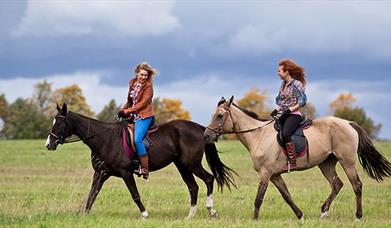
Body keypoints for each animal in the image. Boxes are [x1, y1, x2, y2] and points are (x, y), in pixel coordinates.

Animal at [44, 103, 237, 219]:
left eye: (59, 123)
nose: (48, 144)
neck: (105, 138)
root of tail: (198, 127)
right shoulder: (102, 172)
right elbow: (92, 194)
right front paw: (84, 215)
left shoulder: (125, 173)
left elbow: (135, 194)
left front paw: (145, 214)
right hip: (182, 166)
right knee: (193, 187)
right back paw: (190, 215)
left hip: (192, 164)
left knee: (209, 179)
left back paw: (211, 210)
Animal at [205, 95, 391, 221]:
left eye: (220, 116)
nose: (207, 135)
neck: (259, 135)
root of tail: (348, 123)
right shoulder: (275, 175)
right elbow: (287, 196)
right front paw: (300, 215)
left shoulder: (265, 173)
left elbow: (259, 198)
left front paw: (254, 220)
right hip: (326, 163)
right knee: (337, 184)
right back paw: (324, 212)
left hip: (347, 161)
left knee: (356, 185)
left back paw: (358, 216)